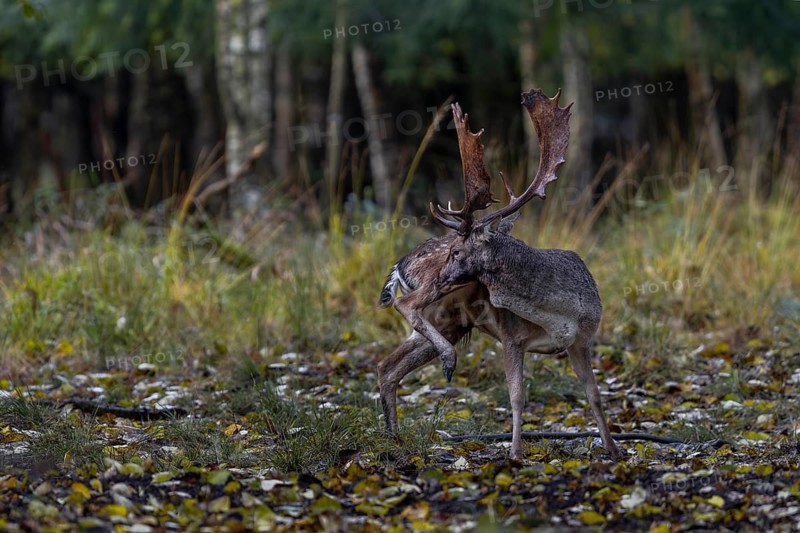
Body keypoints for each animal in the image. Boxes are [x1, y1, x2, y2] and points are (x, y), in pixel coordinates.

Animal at [378, 89, 623, 460]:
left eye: (457, 252)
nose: (444, 269)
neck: (560, 312)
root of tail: (399, 265)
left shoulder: (582, 339)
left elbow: (594, 395)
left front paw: (612, 449)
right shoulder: (512, 336)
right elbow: (517, 397)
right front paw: (515, 453)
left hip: (449, 320)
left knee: (387, 366)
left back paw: (395, 438)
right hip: (438, 302)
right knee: (406, 306)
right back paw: (446, 364)